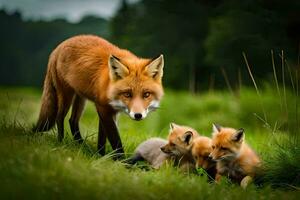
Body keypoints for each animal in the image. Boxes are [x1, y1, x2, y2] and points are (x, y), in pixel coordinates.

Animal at [34, 35, 164, 157]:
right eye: (127, 94)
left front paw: (100, 156)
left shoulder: (111, 112)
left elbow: (102, 138)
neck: (109, 85)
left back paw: (80, 145)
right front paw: (121, 161)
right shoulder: (102, 108)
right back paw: (60, 143)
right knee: (59, 117)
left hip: (80, 98)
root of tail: (58, 48)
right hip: (66, 95)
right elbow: (114, 139)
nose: (138, 115)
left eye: (146, 94)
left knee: (72, 120)